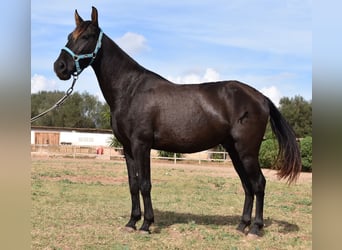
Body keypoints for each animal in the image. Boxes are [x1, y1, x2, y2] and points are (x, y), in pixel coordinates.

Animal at [54, 6, 302, 236]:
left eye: (86, 36)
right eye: (69, 35)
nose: (60, 67)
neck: (131, 90)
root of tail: (261, 97)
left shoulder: (142, 145)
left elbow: (145, 184)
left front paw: (146, 224)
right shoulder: (127, 148)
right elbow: (133, 185)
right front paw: (131, 222)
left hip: (247, 151)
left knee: (259, 183)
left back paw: (255, 229)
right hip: (234, 150)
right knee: (247, 185)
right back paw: (242, 225)